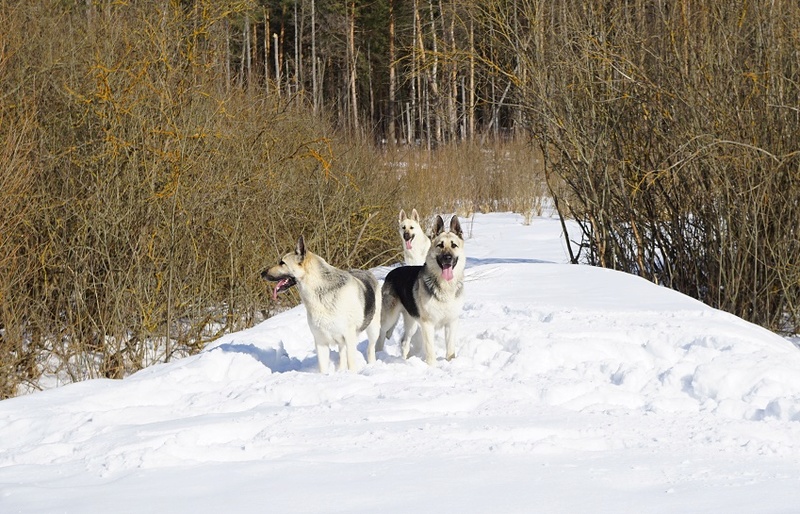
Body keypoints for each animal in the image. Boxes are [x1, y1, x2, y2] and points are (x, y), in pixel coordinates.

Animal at [264, 236, 382, 372]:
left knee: (370, 348)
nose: (262, 273)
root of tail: (367, 272)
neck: (319, 290)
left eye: (282, 263)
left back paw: (372, 365)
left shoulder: (349, 337)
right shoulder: (320, 342)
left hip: (373, 330)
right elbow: (323, 368)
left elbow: (352, 364)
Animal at [376, 213, 466, 364]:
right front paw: (432, 366)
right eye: (440, 245)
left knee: (404, 342)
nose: (448, 258)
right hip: (389, 319)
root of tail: (390, 273)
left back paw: (405, 360)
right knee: (381, 335)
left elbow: (450, 350)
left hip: (411, 323)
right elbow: (430, 351)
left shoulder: (451, 323)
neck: (445, 286)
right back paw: (377, 355)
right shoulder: (427, 324)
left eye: (454, 245)